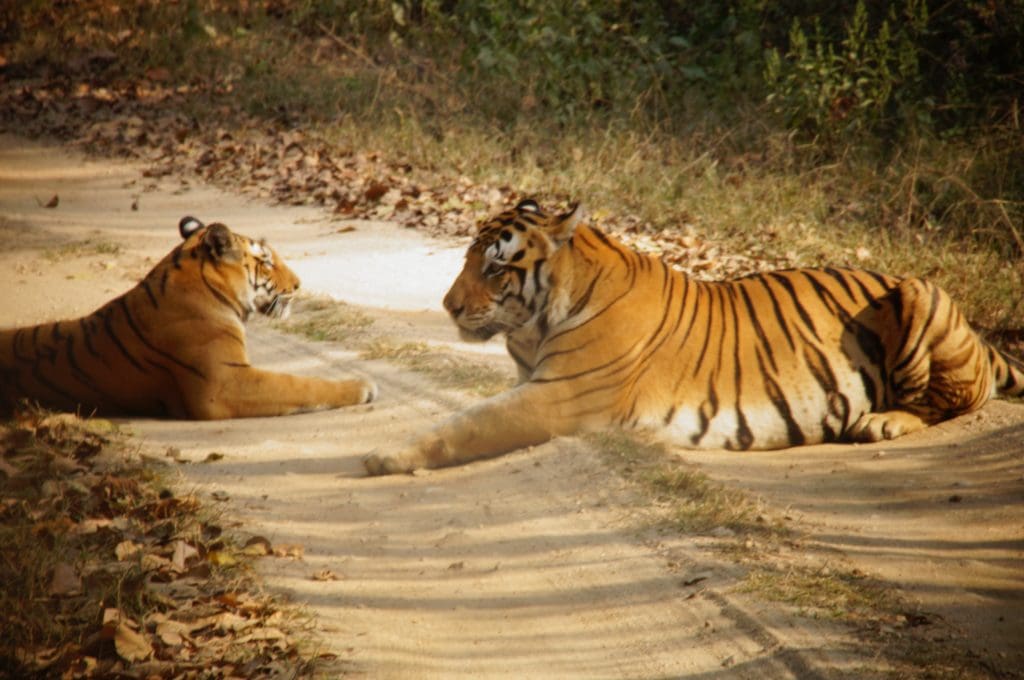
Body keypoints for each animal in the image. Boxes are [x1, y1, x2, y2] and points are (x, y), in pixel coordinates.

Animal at [362, 196, 1024, 473]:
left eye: (495, 267)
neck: (538, 320)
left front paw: (383, 455)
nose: (448, 307)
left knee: (958, 398)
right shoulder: (538, 384)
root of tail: (980, 335)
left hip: (919, 294)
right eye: (468, 259)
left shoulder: (559, 395)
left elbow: (466, 423)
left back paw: (882, 422)